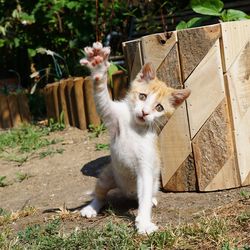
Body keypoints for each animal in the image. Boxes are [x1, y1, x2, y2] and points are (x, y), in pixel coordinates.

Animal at [79, 41, 190, 234]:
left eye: (159, 107)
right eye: (142, 96)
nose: (145, 113)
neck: (135, 127)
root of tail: (126, 192)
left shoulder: (146, 168)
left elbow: (144, 196)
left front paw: (144, 222)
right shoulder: (113, 117)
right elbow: (102, 99)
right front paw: (99, 66)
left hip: (154, 181)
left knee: (148, 192)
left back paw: (152, 199)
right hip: (109, 173)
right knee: (100, 193)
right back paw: (91, 208)